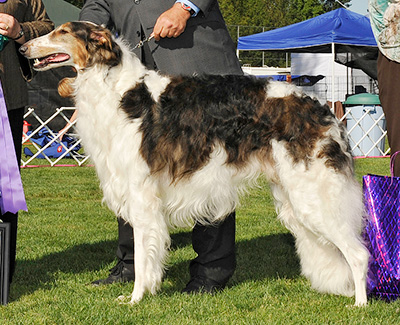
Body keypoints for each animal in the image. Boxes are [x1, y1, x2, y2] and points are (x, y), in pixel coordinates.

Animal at [18, 21, 368, 306]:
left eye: (62, 32)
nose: (22, 47)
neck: (118, 91)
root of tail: (321, 108)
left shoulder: (142, 194)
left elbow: (143, 256)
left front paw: (135, 298)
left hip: (313, 196)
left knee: (359, 254)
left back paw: (360, 305)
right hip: (294, 198)